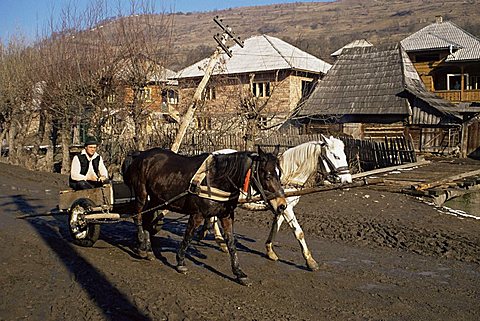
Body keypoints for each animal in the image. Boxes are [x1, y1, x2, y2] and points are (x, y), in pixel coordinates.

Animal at [123, 146, 284, 284]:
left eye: (279, 173)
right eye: (267, 175)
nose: (282, 205)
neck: (216, 178)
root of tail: (140, 155)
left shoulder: (226, 215)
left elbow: (231, 243)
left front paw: (239, 273)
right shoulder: (197, 215)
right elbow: (188, 237)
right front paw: (180, 262)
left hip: (156, 199)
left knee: (147, 221)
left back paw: (148, 250)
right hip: (142, 195)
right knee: (137, 216)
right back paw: (141, 245)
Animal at [207, 134, 352, 270]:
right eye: (336, 156)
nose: (348, 180)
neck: (287, 176)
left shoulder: (282, 207)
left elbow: (275, 226)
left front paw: (270, 250)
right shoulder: (287, 209)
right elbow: (298, 232)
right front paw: (310, 261)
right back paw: (221, 242)